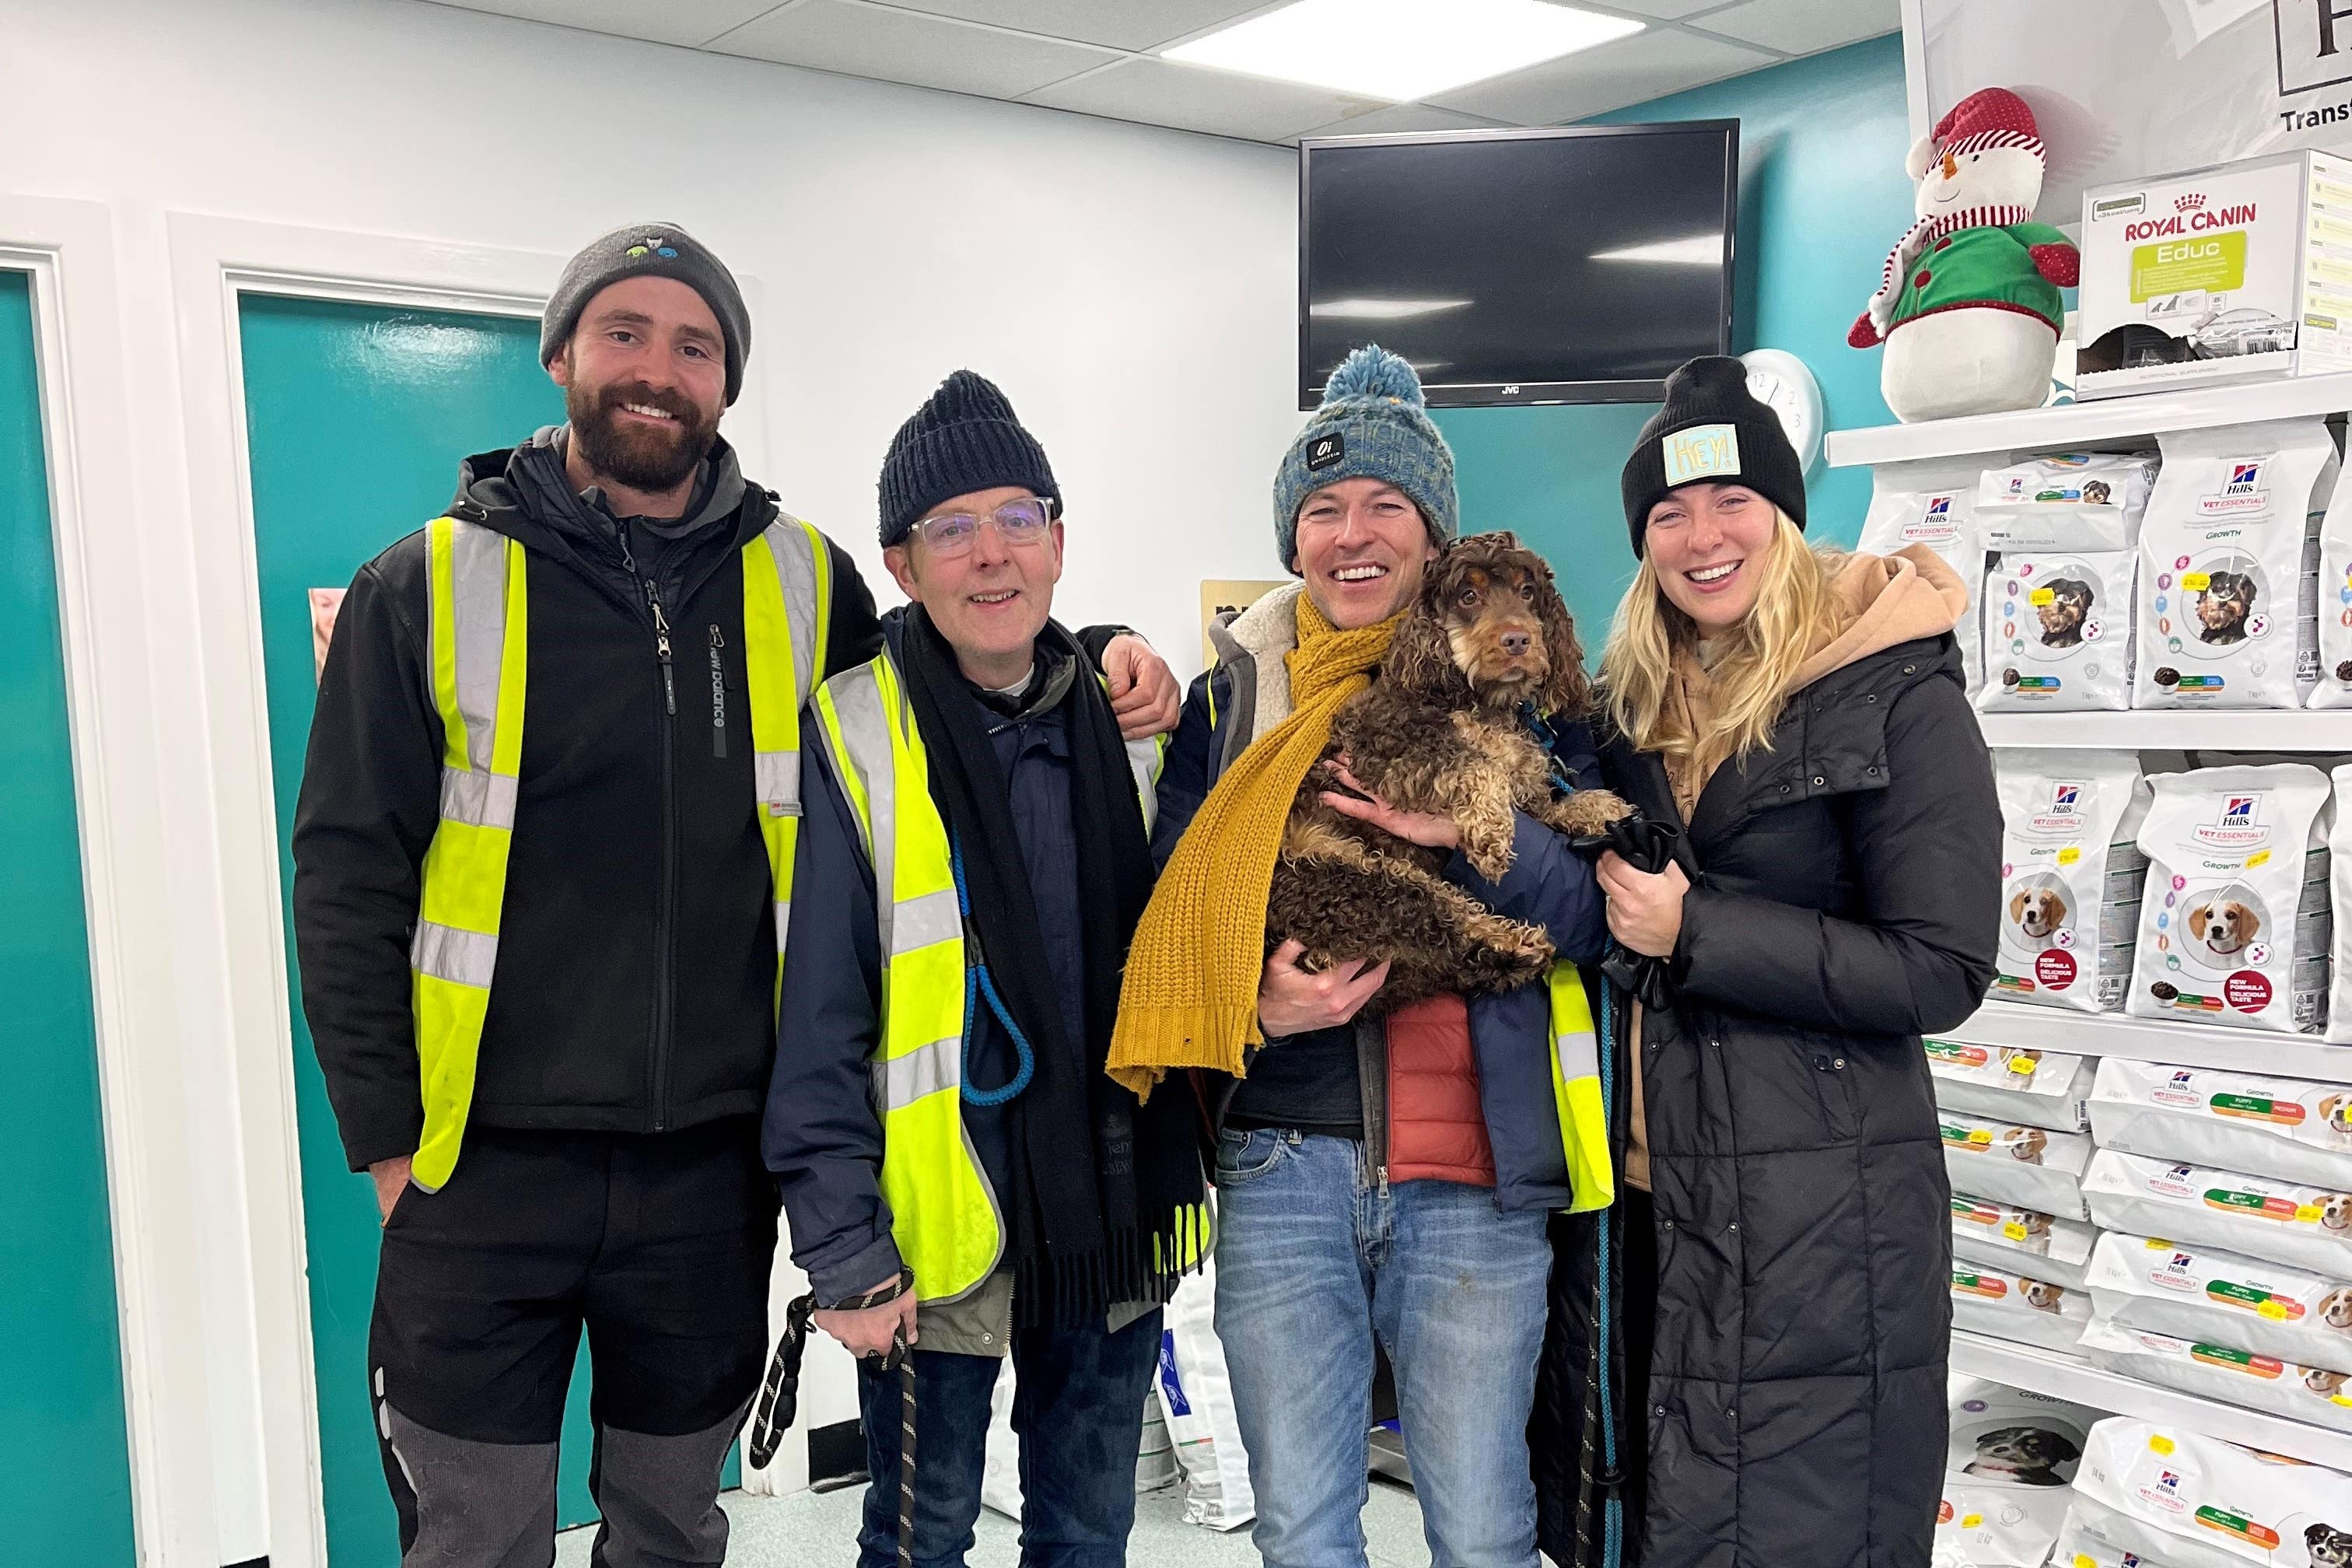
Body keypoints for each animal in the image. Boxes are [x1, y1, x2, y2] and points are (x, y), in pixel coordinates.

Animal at [1269, 534, 1636, 1010]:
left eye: (1527, 591)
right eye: (1468, 596)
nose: (1519, 640)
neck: (1485, 704)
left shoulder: (1526, 787)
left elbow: (1549, 805)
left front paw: (1598, 807)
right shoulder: (1384, 740)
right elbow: (1475, 763)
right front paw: (1491, 831)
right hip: (1351, 879)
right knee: (1440, 922)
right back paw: (1515, 945)